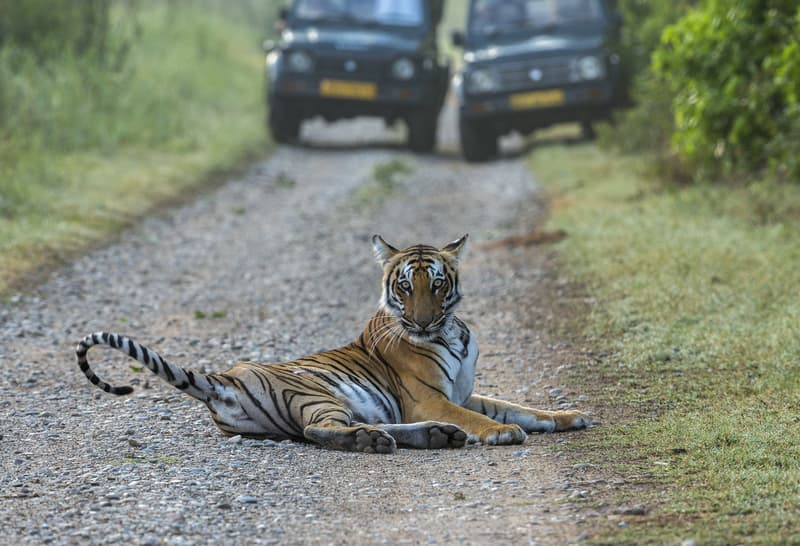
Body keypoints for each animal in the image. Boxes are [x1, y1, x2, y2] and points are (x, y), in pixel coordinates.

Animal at [78, 234, 592, 450]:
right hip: (318, 393)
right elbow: (485, 418)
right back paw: (381, 440)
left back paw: (433, 436)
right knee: (317, 431)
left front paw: (568, 417)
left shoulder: (464, 393)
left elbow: (520, 407)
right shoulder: (428, 398)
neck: (452, 330)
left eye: (437, 284)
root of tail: (225, 378)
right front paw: (501, 433)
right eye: (405, 286)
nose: (422, 321)